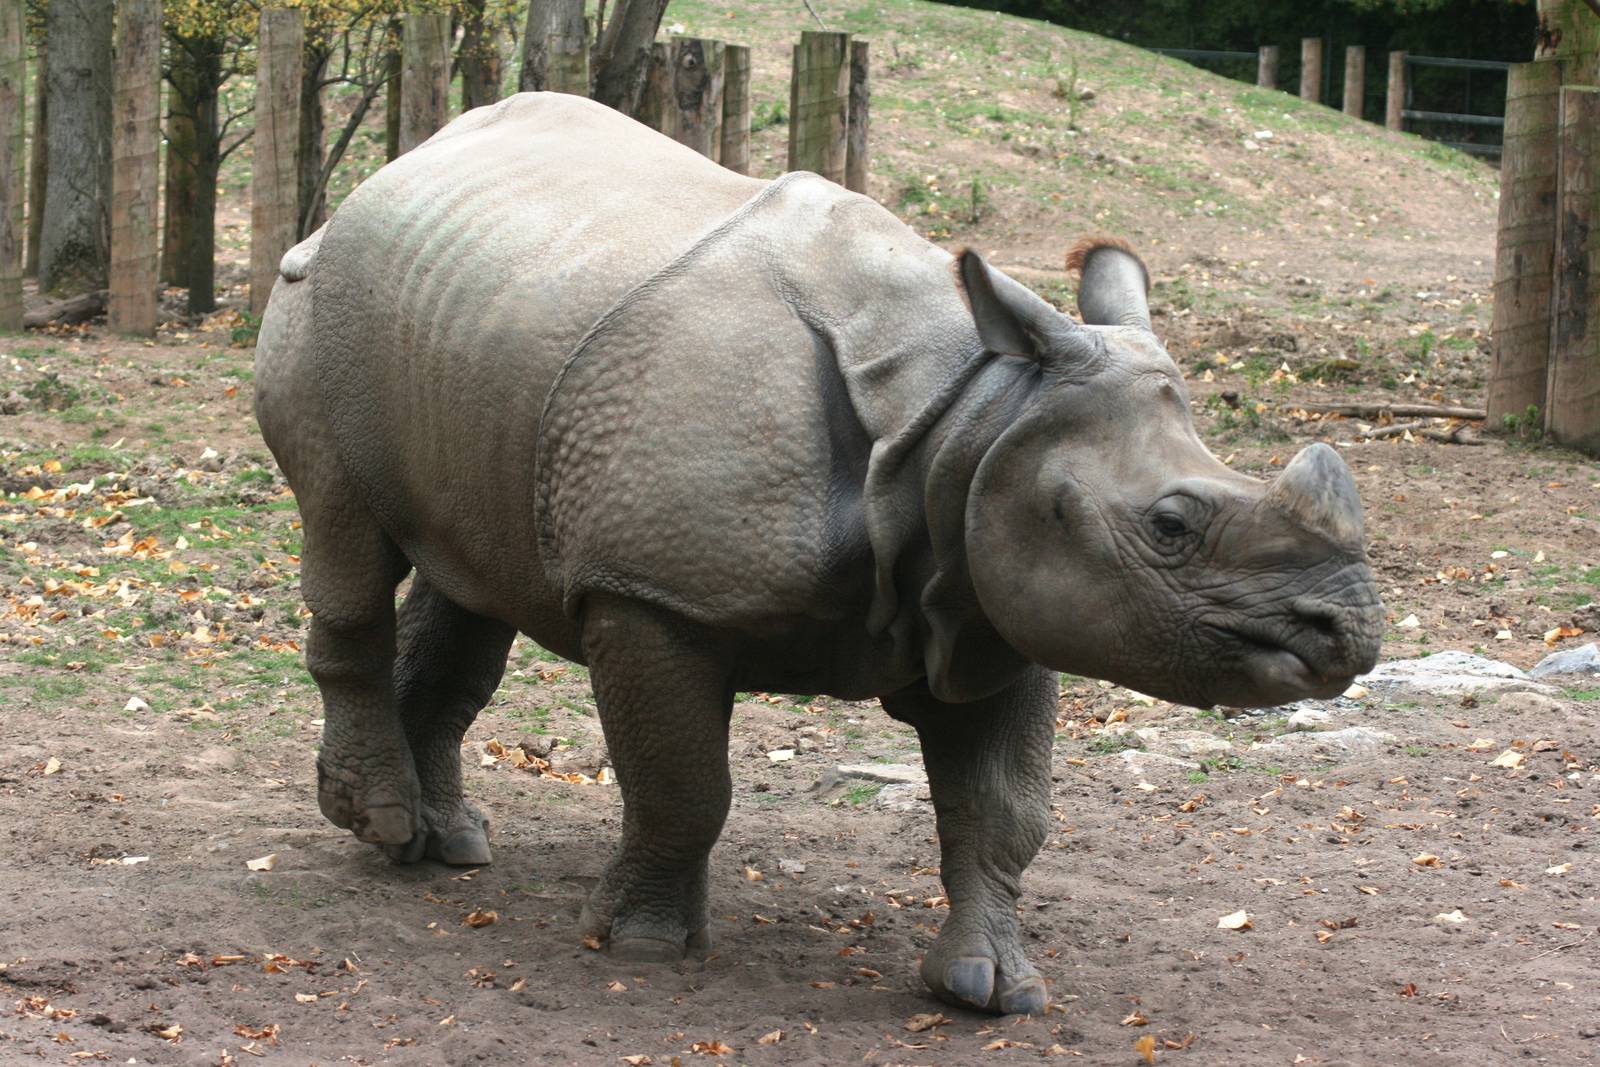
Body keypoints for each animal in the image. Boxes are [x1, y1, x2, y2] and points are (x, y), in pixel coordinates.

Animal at [254, 92, 1382, 1015]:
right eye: (1170, 526)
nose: (1348, 631)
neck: (972, 414)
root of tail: (379, 180)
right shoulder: (653, 592)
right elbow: (682, 784)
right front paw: (641, 947)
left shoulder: (993, 596)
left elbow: (1006, 811)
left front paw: (990, 988)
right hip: (322, 305)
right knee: (348, 534)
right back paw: (383, 824)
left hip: (474, 324)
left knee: (469, 583)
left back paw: (439, 848)